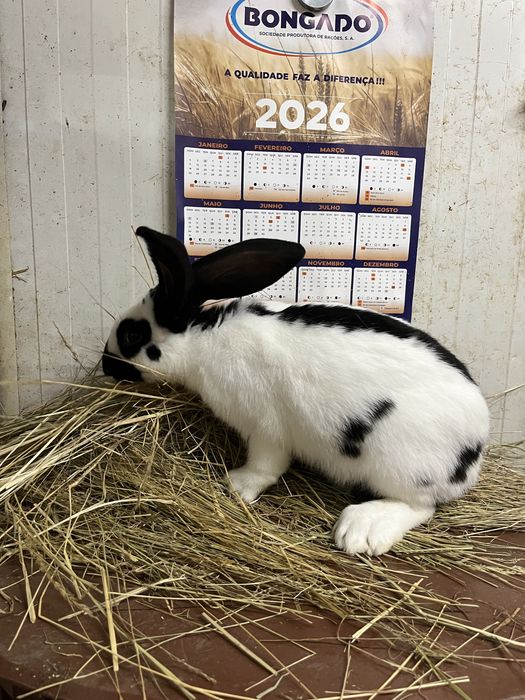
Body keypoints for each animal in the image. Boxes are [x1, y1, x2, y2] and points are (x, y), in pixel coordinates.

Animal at [103, 226, 490, 555]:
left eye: (133, 335)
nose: (106, 365)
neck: (203, 337)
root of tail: (475, 449)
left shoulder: (264, 427)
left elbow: (265, 466)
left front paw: (236, 485)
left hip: (399, 464)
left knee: (421, 506)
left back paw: (359, 529)